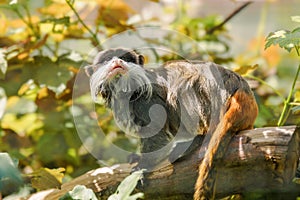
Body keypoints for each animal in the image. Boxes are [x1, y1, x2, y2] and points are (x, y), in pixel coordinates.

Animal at [85, 48, 258, 200]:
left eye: (126, 59)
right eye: (107, 60)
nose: (117, 61)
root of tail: (241, 88)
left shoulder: (146, 99)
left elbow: (156, 134)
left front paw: (142, 168)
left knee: (184, 85)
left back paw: (197, 139)